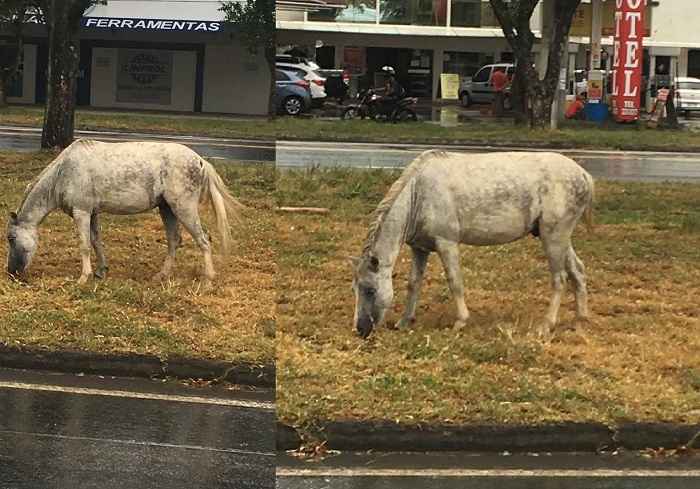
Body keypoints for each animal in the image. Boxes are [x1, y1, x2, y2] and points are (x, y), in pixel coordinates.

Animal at [6, 139, 241, 289]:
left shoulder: (81, 212)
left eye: (10, 238)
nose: (11, 271)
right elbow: (95, 241)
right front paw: (101, 271)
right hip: (167, 209)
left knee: (204, 240)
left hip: (183, 209)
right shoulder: (92, 214)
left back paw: (208, 281)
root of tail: (201, 161)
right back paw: (161, 275)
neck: (64, 171)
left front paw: (84, 277)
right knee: (174, 240)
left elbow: (84, 244)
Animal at [350, 150, 595, 339]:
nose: (360, 329)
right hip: (558, 238)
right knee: (578, 271)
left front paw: (461, 321)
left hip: (553, 236)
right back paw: (578, 321)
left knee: (559, 278)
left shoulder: (447, 243)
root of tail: (583, 174)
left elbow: (454, 280)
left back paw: (546, 325)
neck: (419, 194)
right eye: (355, 289)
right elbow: (413, 283)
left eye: (370, 290)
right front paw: (404, 321)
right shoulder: (420, 248)